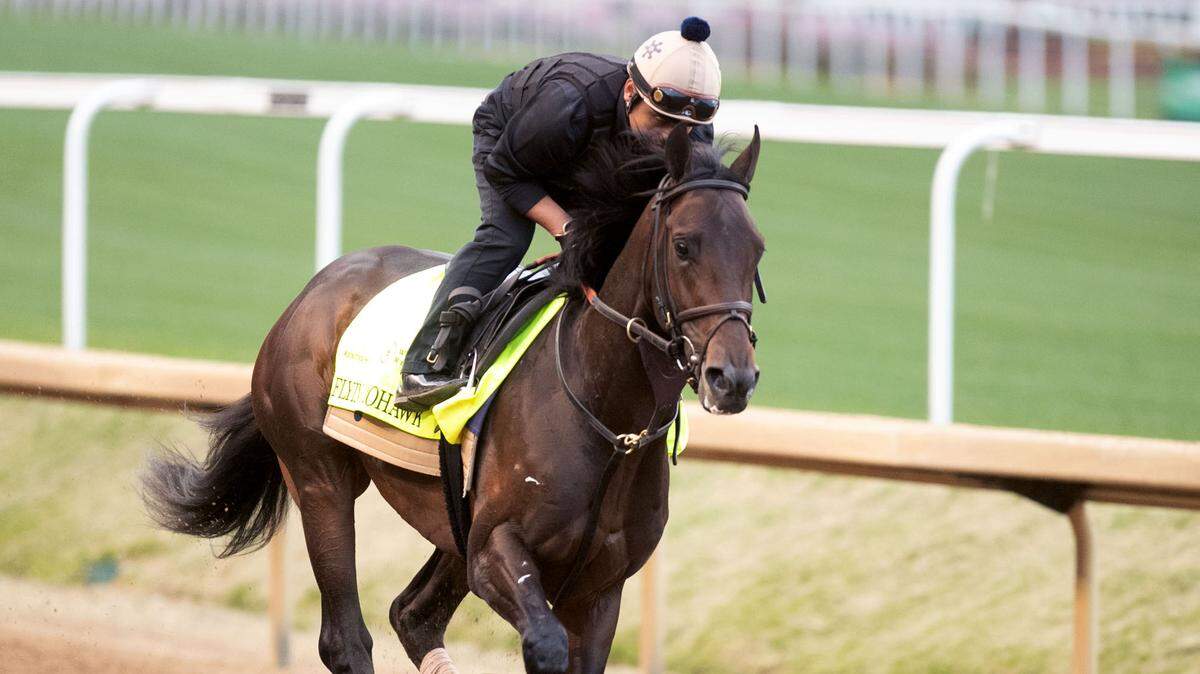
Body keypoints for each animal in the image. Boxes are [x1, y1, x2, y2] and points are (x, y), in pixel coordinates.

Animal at [142, 123, 764, 674]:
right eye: (684, 246)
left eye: (756, 251)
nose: (731, 377)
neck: (609, 423)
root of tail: (310, 293)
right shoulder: (495, 551)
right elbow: (544, 646)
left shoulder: (598, 589)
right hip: (318, 475)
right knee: (346, 638)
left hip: (450, 519)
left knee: (412, 616)